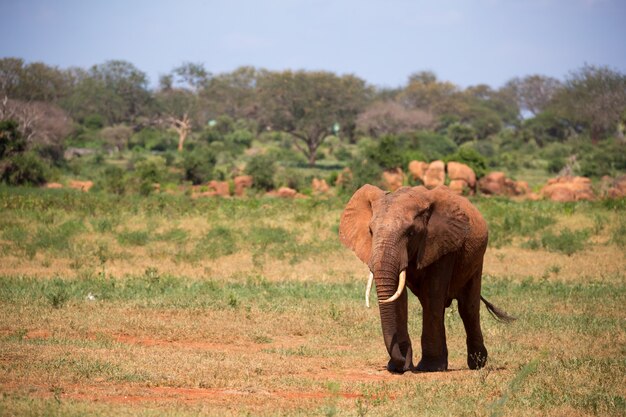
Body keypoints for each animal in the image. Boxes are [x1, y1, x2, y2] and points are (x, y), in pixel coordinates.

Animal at [336, 184, 512, 372]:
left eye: (410, 233)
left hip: (477, 261)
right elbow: (400, 299)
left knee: (467, 307)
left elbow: (432, 293)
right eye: (370, 231)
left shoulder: (443, 244)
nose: (400, 363)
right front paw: (400, 367)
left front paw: (429, 367)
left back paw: (477, 363)